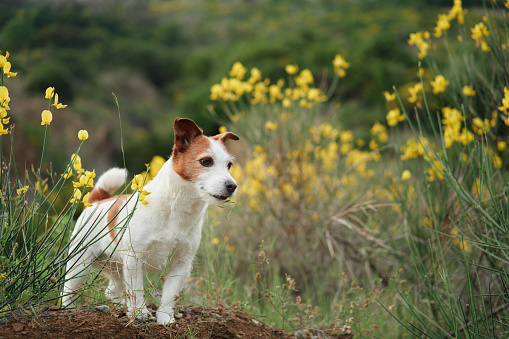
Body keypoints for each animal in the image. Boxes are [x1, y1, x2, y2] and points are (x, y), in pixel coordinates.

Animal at [60, 118, 239, 326]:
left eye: (229, 165)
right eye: (206, 161)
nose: (232, 186)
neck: (175, 208)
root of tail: (97, 201)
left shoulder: (181, 264)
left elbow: (169, 294)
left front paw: (165, 317)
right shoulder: (134, 258)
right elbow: (137, 289)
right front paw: (139, 313)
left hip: (116, 267)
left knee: (112, 290)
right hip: (80, 263)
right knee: (69, 289)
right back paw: (69, 307)